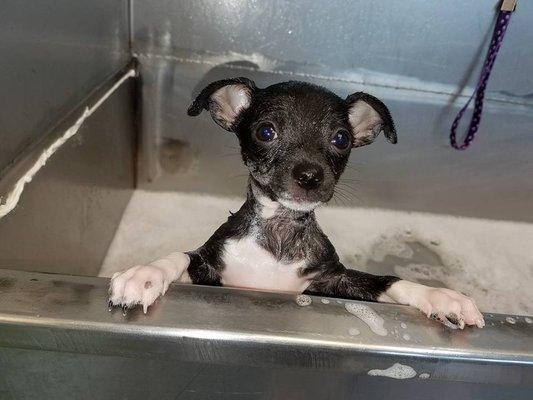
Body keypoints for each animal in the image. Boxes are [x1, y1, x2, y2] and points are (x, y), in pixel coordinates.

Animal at [108, 77, 482, 328]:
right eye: (265, 132)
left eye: (341, 139)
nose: (310, 175)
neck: (280, 230)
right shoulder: (210, 269)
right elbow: (180, 257)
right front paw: (145, 274)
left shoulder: (333, 283)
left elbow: (386, 281)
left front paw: (441, 296)